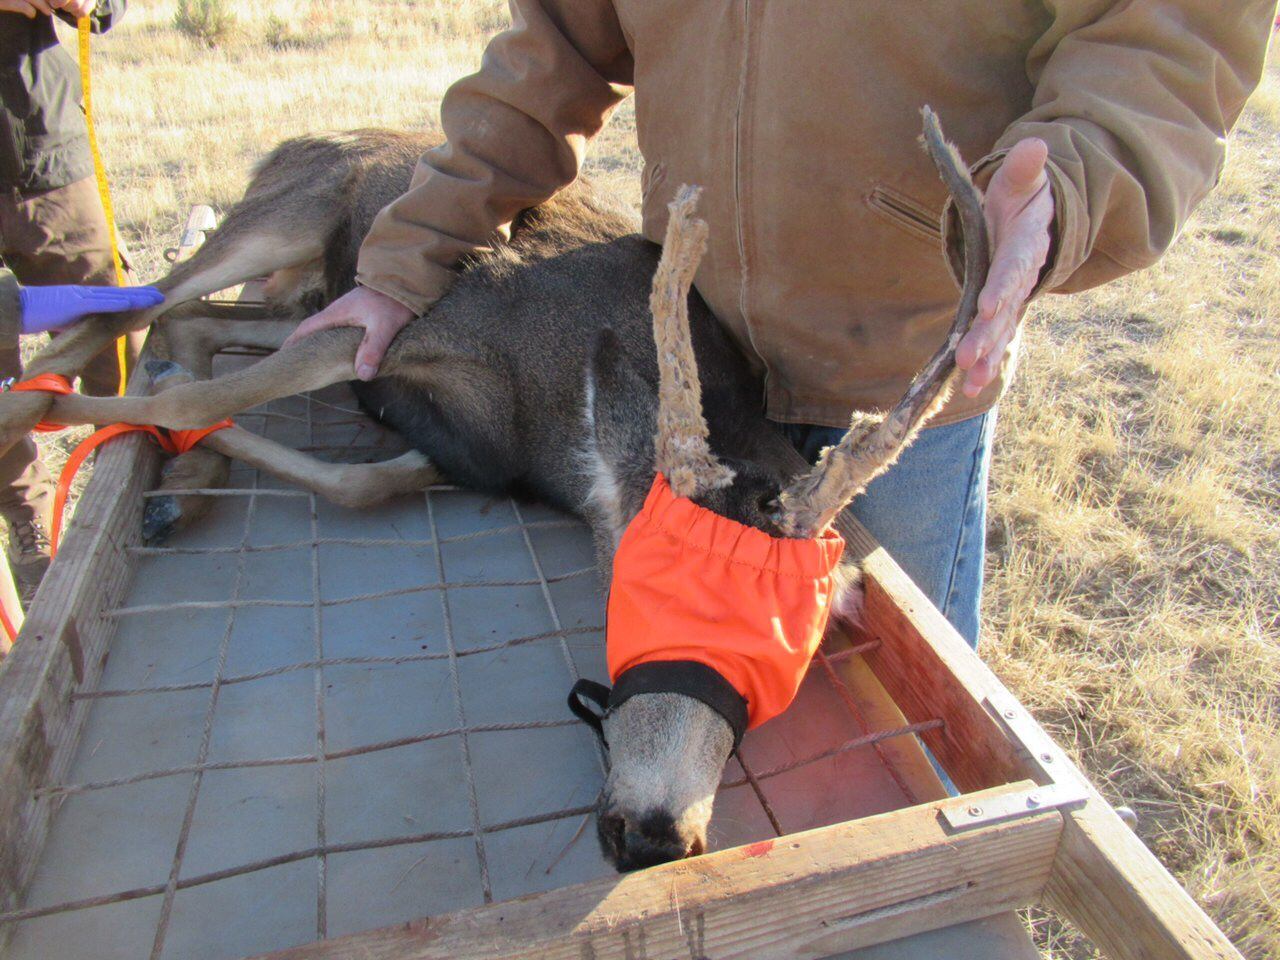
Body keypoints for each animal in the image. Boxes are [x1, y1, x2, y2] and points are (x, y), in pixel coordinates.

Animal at [2, 108, 988, 870]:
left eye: (798, 650)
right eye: (632, 588)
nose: (655, 837)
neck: (559, 428)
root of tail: (302, 136)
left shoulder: (463, 449)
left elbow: (353, 482)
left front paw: (183, 454)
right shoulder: (387, 330)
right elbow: (202, 395)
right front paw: (94, 414)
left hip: (302, 291)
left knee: (189, 321)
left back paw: (183, 478)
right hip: (285, 218)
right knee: (142, 302)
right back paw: (38, 401)